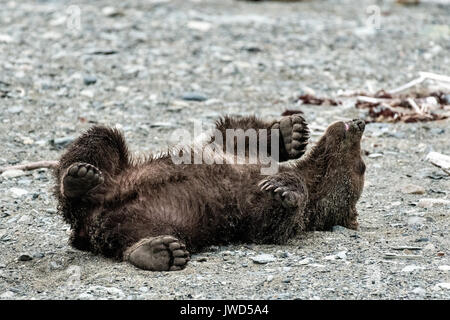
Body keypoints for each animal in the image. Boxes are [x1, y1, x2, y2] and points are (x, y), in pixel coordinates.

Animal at [52, 115, 366, 270]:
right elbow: (238, 132)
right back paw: (81, 176)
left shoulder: (255, 212)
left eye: (361, 165)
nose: (360, 123)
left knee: (127, 238)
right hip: (116, 175)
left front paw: (282, 188)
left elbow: (270, 220)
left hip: (163, 220)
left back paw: (160, 252)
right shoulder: (241, 153)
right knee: (102, 139)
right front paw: (292, 131)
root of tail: (84, 227)